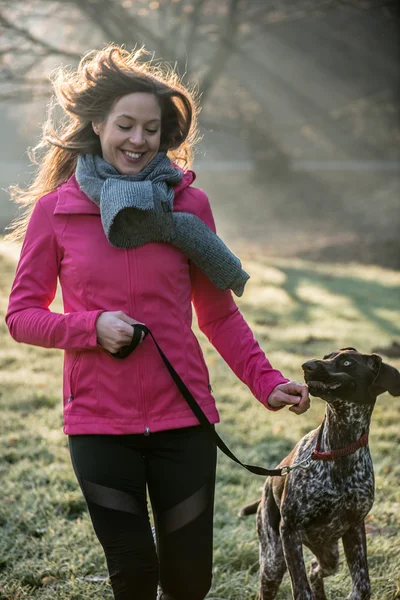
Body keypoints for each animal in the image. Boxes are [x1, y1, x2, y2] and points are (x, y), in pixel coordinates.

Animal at [241, 346, 400, 600]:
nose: (307, 365)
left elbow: (362, 586)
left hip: (329, 554)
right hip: (274, 561)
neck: (339, 447)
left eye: (347, 362)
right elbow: (302, 589)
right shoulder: (290, 529)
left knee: (316, 568)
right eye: (327, 357)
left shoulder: (355, 527)